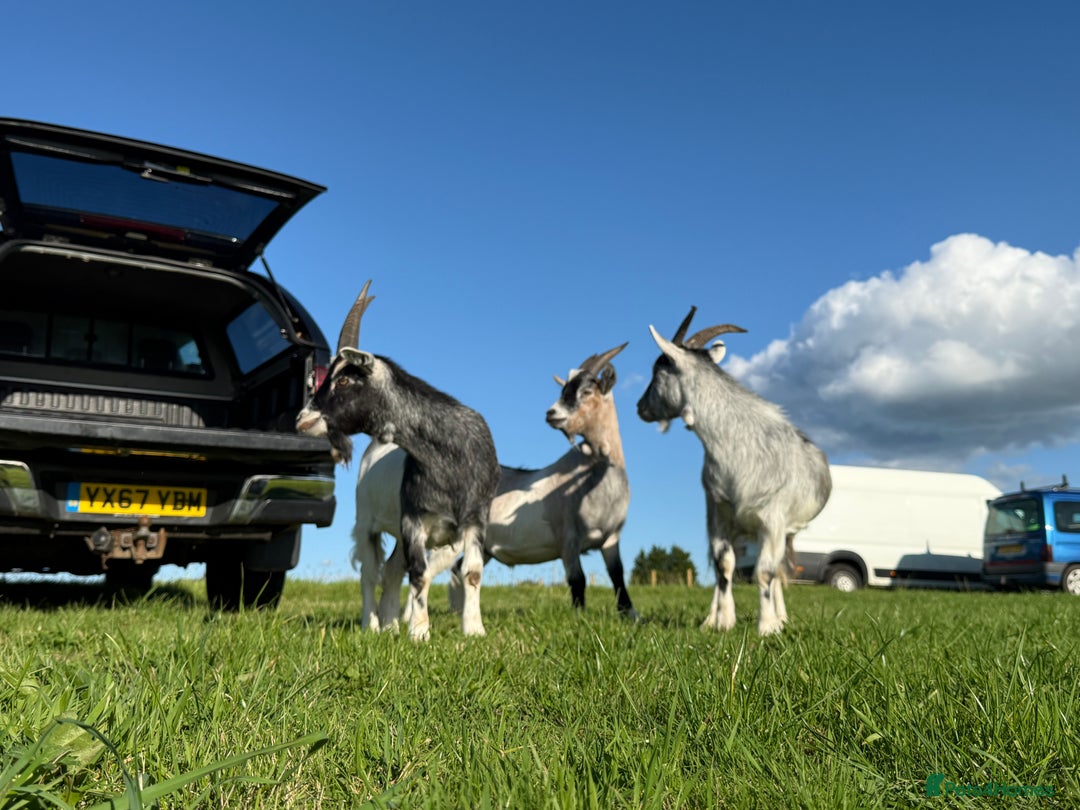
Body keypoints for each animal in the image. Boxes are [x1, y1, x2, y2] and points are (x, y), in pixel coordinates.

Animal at [295, 280, 499, 641]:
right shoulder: (413, 519)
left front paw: (474, 631)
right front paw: (419, 632)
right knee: (369, 572)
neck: (451, 458)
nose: (303, 419)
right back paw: (372, 625)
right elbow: (418, 573)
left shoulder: (475, 519)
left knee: (391, 571)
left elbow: (472, 572)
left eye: (343, 379)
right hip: (366, 520)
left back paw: (390, 625)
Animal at [355, 344, 638, 628]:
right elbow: (578, 580)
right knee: (421, 571)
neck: (592, 482)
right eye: (564, 390)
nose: (552, 414)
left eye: (587, 391)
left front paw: (631, 615)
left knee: (427, 570)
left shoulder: (611, 538)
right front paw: (579, 618)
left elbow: (618, 574)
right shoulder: (568, 539)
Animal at [636, 307, 831, 636]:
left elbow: (764, 572)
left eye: (656, 372)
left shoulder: (773, 519)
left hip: (780, 530)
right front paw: (724, 622)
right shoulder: (718, 511)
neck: (734, 446)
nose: (640, 407)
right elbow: (724, 566)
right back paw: (711, 618)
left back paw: (780, 617)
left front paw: (768, 627)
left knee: (777, 570)